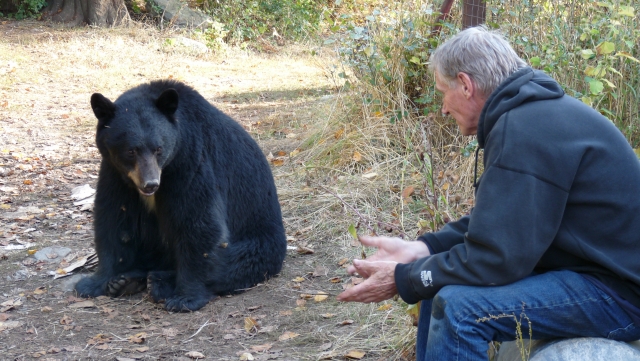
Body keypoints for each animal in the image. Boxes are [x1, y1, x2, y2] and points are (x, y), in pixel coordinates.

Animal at [74, 80, 286, 310]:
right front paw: (94, 283)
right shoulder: (115, 174)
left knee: (231, 264)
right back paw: (126, 281)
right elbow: (114, 219)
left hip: (260, 241)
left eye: (158, 148)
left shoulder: (190, 162)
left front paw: (184, 298)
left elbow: (197, 223)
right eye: (131, 151)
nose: (150, 184)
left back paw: (159, 282)